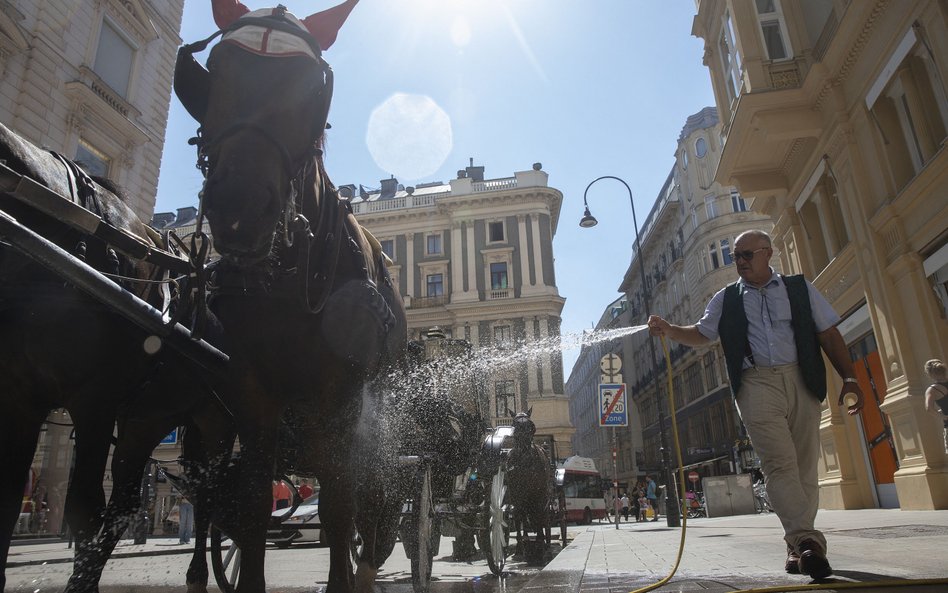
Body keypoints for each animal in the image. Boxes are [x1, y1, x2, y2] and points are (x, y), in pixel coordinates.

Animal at [0, 121, 231, 592]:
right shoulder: (21, 398)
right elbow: (9, 499)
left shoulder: (96, 400)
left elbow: (84, 507)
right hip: (149, 418)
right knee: (135, 501)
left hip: (214, 422)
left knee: (206, 498)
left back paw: (198, 573)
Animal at [176, 2, 410, 588]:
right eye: (218, 70)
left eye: (312, 87)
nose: (239, 207)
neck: (284, 275)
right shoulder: (250, 393)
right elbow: (254, 504)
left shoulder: (342, 395)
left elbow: (341, 505)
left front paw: (348, 574)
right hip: (210, 425)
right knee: (209, 498)